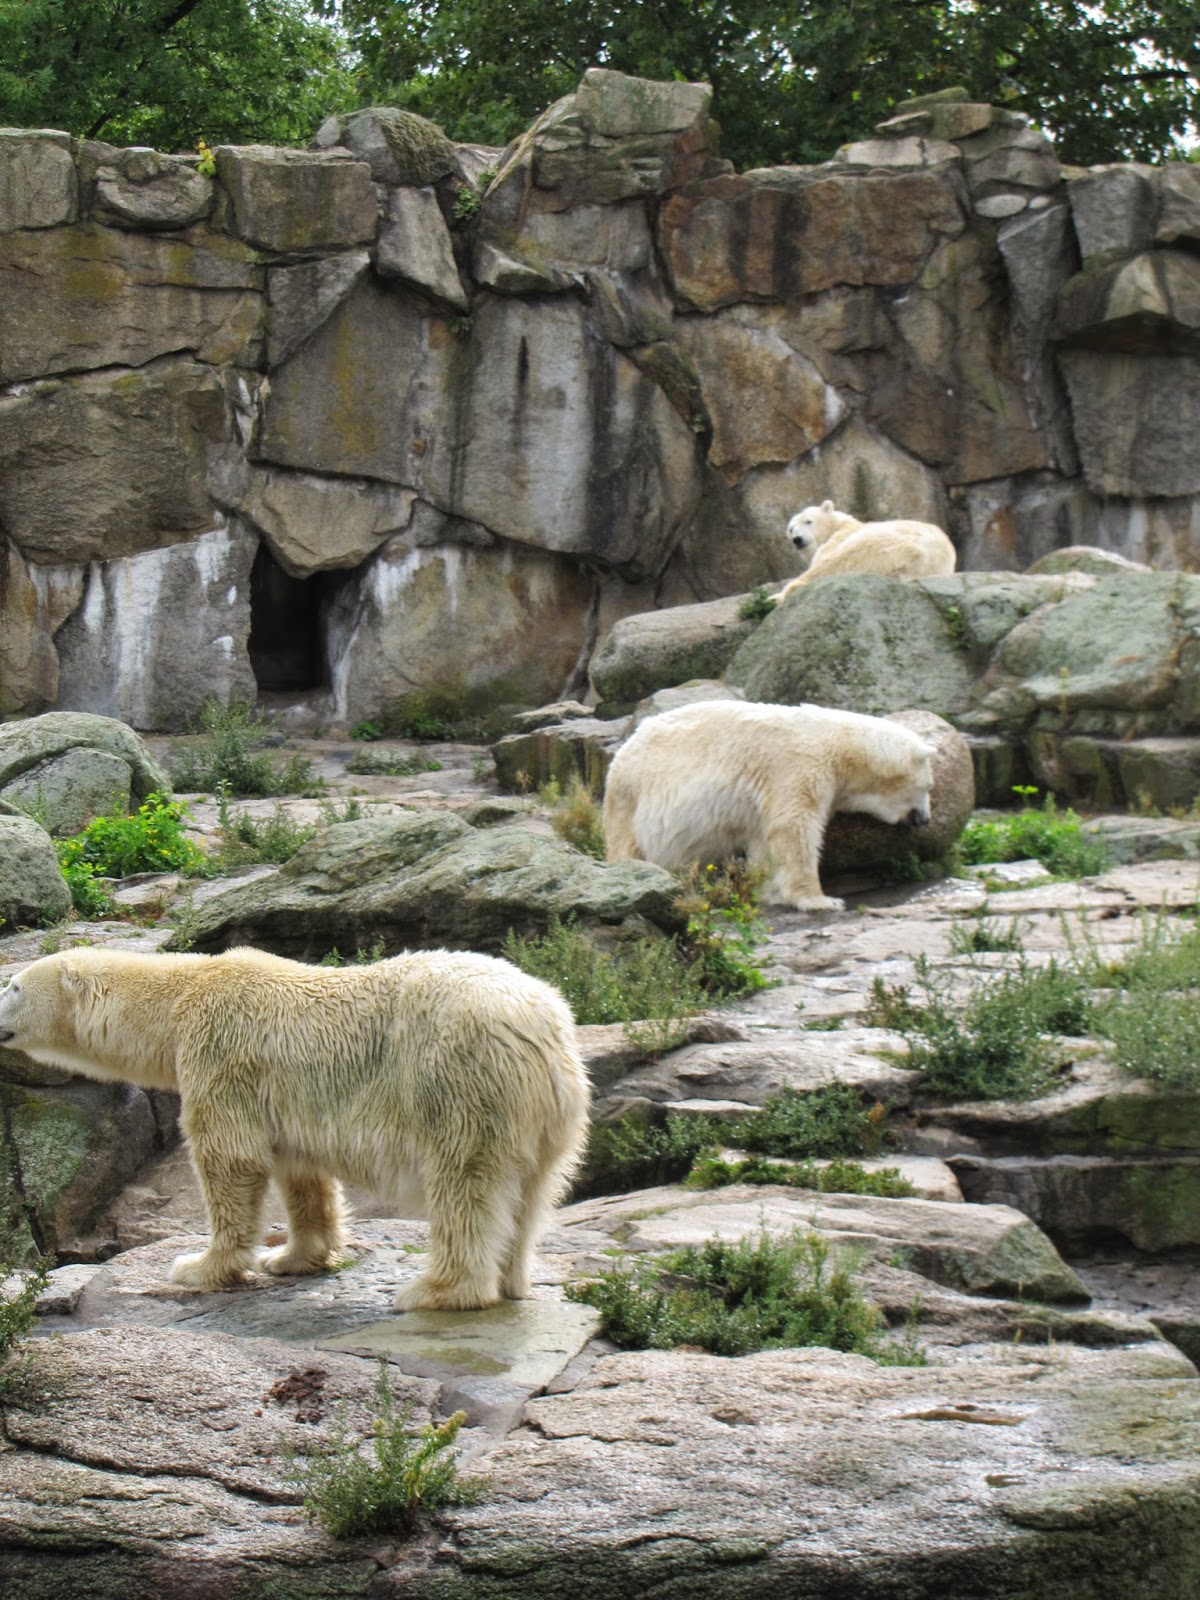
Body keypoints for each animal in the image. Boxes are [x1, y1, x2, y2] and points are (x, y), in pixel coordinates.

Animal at [0, 945, 590, 1311]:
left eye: (12, 985)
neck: (181, 997)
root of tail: (542, 1024)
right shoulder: (284, 1098)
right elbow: (302, 1172)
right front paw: (290, 1257)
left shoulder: (220, 1055)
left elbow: (229, 1157)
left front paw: (199, 1266)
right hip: (551, 1116)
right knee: (532, 1193)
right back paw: (512, 1280)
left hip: (457, 1079)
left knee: (464, 1183)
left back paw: (438, 1290)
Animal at [603, 700, 934, 911]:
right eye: (928, 787)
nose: (925, 820)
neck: (838, 744)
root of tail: (619, 756)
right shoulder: (796, 766)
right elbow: (794, 827)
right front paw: (821, 900)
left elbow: (764, 839)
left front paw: (770, 892)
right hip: (632, 798)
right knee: (630, 847)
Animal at [778, 500, 956, 600]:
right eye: (791, 529)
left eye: (808, 521)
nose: (797, 539)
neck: (838, 525)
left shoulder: (842, 537)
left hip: (883, 545)